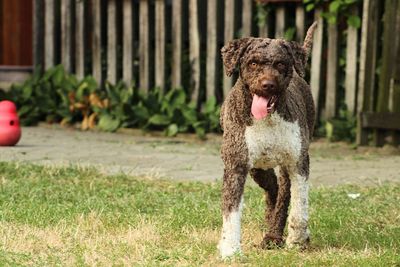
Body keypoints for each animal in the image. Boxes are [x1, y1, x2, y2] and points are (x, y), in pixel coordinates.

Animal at [217, 23, 318, 260]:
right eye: (253, 63)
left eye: (280, 63)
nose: (268, 85)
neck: (267, 121)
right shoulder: (236, 164)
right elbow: (231, 210)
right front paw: (230, 250)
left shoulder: (298, 161)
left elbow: (299, 205)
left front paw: (297, 239)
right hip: (258, 169)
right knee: (273, 190)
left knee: (283, 194)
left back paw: (274, 235)